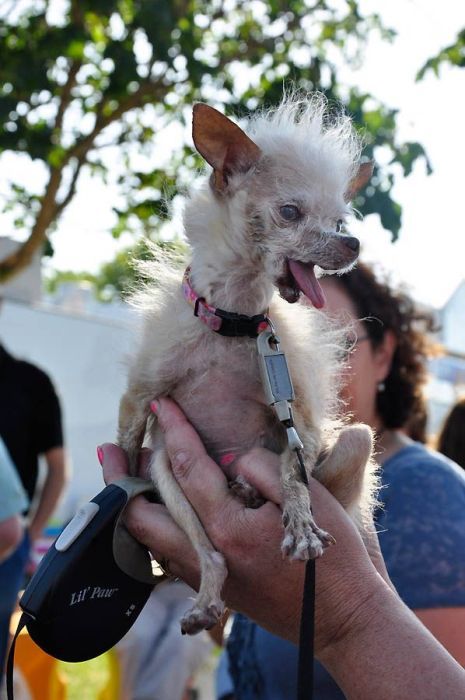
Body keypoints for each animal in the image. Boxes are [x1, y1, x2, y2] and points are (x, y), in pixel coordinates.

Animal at [118, 93, 376, 636]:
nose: (353, 244)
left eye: (340, 222)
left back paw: (247, 491)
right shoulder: (138, 400)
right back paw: (208, 594)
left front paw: (301, 524)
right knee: (211, 555)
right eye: (290, 212)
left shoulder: (302, 426)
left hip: (356, 442)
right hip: (166, 465)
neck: (235, 321)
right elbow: (125, 459)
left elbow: (294, 475)